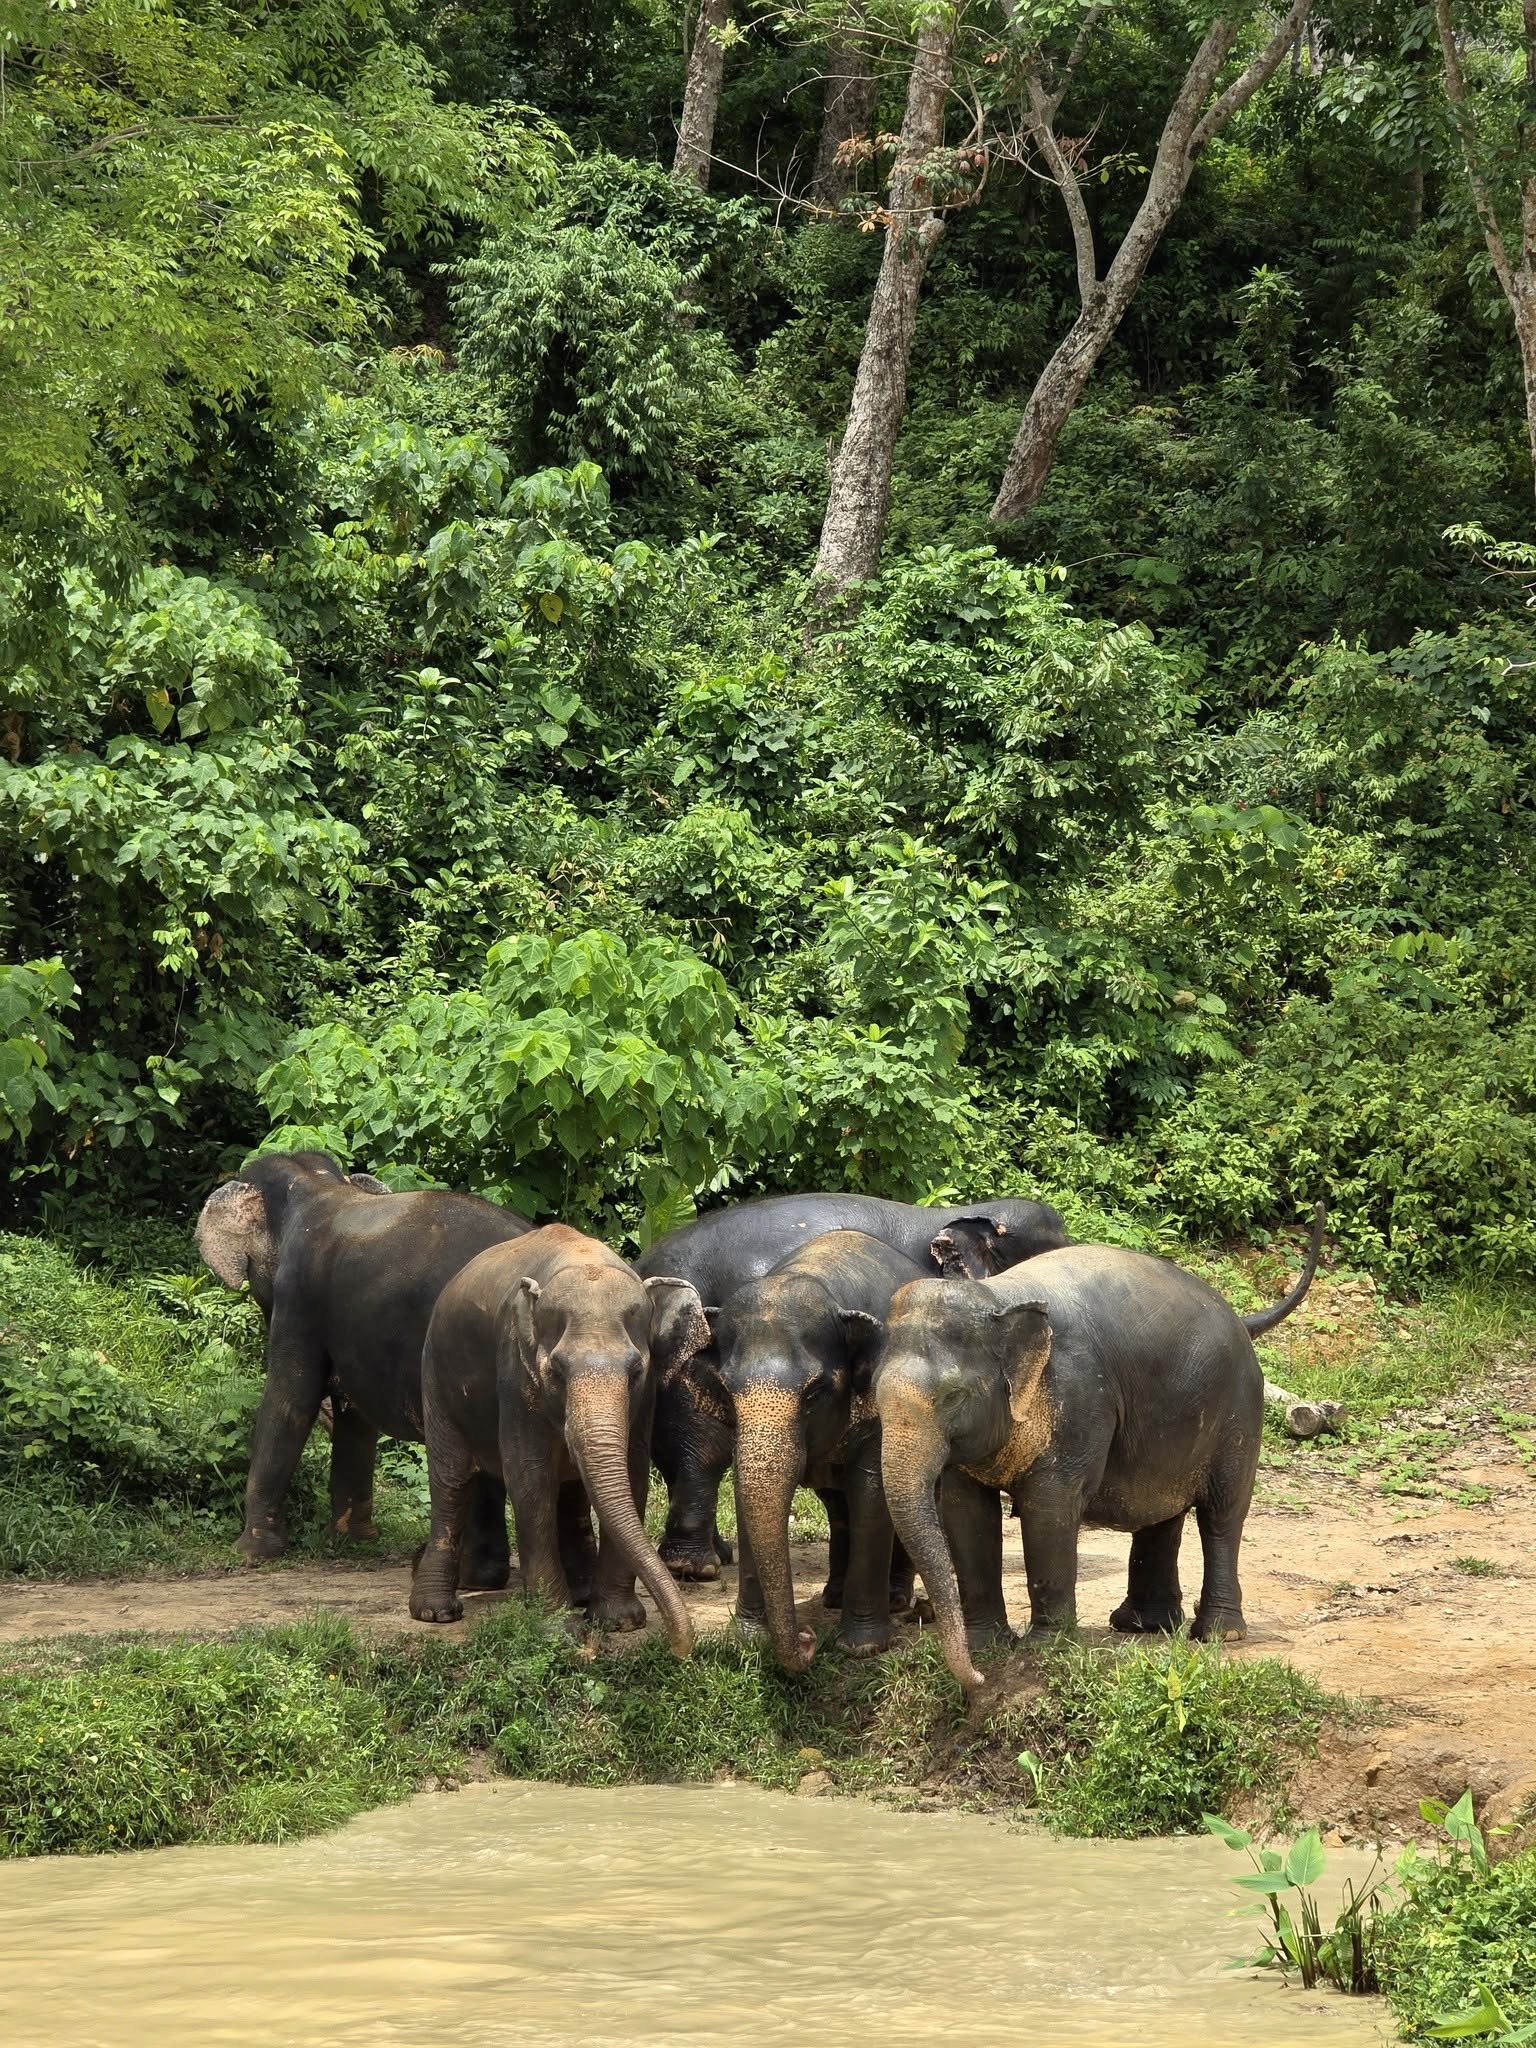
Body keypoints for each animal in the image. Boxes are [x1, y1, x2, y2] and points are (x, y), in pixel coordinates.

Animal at [196, 1150, 531, 1575]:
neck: (315, 1183)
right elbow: (354, 1413)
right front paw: (350, 1541)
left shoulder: (299, 1295)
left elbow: (289, 1401)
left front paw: (251, 1553)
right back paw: (481, 1573)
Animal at [409, 1223, 706, 1657]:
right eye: (557, 1371)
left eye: (635, 1371)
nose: (680, 1649)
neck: (582, 1258)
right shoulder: (515, 1374)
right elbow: (529, 1478)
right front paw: (558, 1628)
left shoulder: (645, 1397)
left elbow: (633, 1472)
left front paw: (618, 1622)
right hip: (435, 1377)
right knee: (450, 1482)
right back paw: (435, 1613)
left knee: (571, 1492)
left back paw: (581, 1594)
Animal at [686, 1229, 926, 1674]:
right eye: (727, 1390)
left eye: (814, 1392)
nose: (808, 1638)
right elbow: (747, 1493)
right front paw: (749, 1641)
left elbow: (873, 1492)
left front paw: (864, 1648)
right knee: (836, 1504)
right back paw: (833, 1596)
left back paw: (897, 1599)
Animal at [869, 1231, 1324, 1690]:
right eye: (873, 1391)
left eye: (952, 1397)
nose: (976, 1680)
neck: (999, 1296)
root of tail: (1238, 1316)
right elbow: (966, 1514)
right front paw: (986, 1648)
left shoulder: (1079, 1400)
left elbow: (1049, 1508)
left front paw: (1044, 1650)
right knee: (1161, 1514)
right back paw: (1144, 1625)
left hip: (1240, 1407)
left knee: (1222, 1514)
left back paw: (1218, 1633)